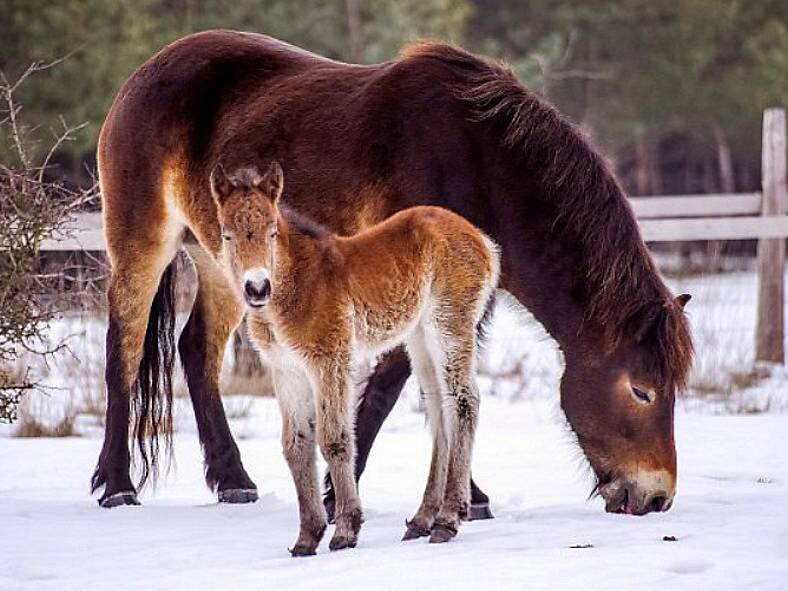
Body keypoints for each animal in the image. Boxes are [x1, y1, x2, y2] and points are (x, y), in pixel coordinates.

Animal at [92, 31, 692, 520]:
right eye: (642, 390)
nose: (656, 496)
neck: (478, 165)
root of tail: (146, 72)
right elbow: (389, 388)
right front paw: (339, 491)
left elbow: (447, 390)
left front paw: (468, 497)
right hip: (141, 244)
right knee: (123, 351)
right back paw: (118, 485)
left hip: (227, 265)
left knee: (195, 351)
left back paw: (233, 480)